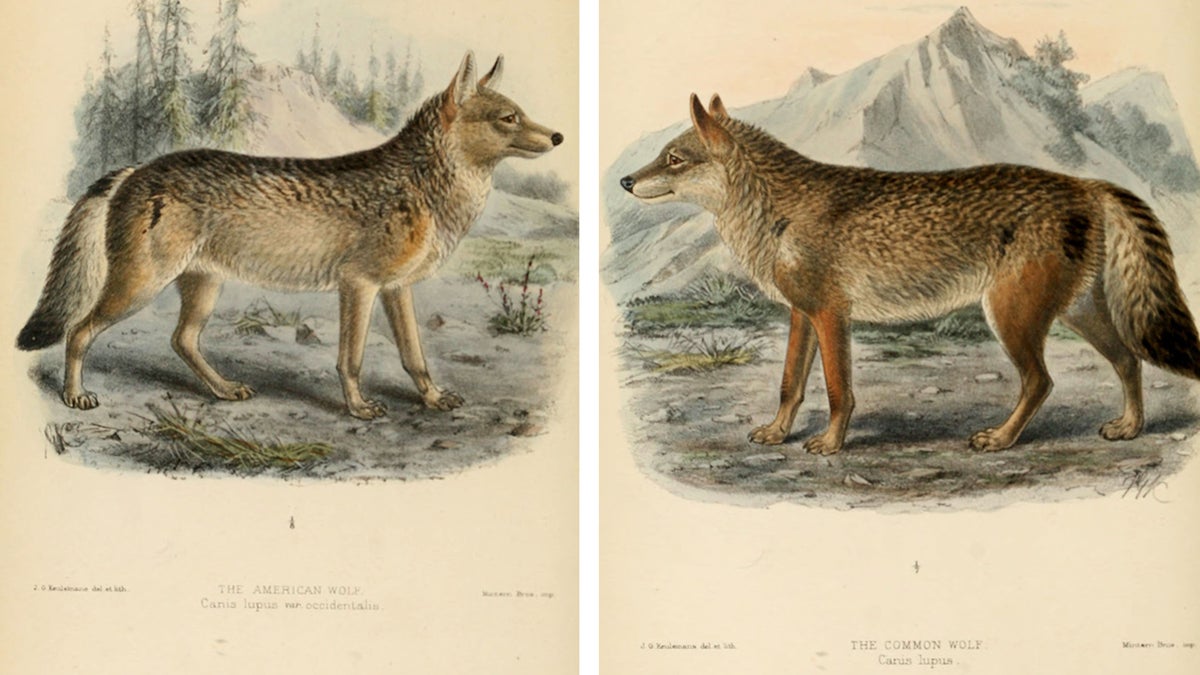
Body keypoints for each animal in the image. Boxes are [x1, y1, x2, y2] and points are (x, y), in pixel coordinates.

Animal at [17, 51, 563, 420]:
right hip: (138, 287)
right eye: (509, 118)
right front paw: (358, 407)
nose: (558, 136)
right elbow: (351, 359)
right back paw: (74, 396)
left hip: (201, 287)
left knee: (182, 340)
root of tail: (136, 169)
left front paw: (430, 399)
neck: (424, 186)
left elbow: (415, 356)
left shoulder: (397, 289)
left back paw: (222, 390)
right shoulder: (359, 286)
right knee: (79, 330)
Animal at [620, 93, 1200, 454]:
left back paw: (1001, 440)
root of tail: (1085, 184)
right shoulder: (801, 315)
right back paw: (1131, 428)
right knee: (1128, 360)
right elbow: (789, 384)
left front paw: (830, 445)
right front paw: (777, 432)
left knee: (1042, 380)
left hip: (1012, 319)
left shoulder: (831, 316)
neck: (776, 209)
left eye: (673, 158)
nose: (624, 181)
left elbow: (838, 391)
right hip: (1075, 315)